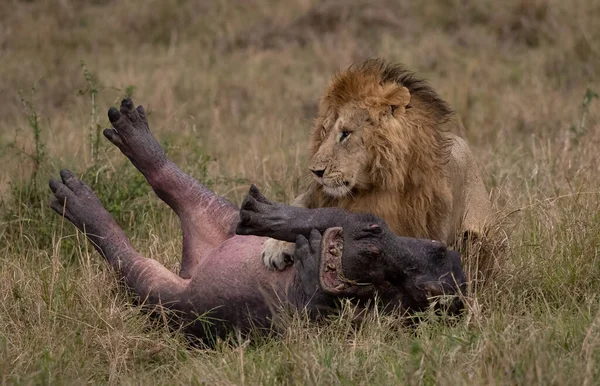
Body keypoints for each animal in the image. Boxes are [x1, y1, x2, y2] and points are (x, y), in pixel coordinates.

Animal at [264, 58, 494, 278]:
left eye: (346, 133)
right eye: (324, 131)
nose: (315, 172)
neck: (371, 186)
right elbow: (300, 208)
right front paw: (275, 247)